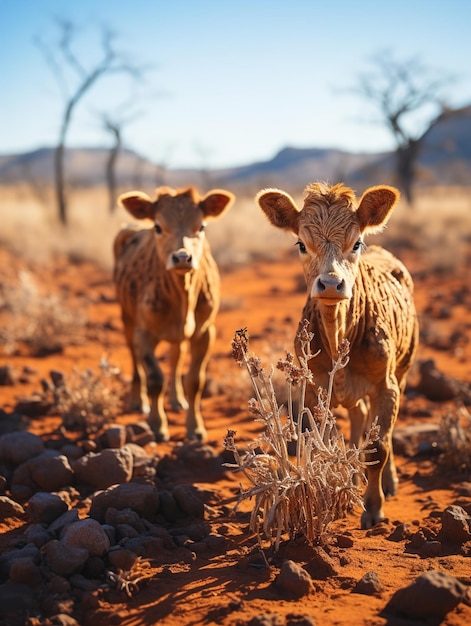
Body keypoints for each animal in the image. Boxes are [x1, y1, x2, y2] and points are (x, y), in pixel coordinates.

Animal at [113, 184, 234, 438]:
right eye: (158, 227)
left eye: (201, 226)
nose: (182, 257)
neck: (182, 295)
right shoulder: (144, 332)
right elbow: (154, 378)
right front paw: (157, 425)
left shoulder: (205, 332)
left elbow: (195, 381)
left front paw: (195, 428)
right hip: (127, 318)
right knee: (135, 359)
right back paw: (137, 400)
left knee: (176, 357)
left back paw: (177, 400)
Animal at [258, 180, 420, 528]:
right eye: (301, 244)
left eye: (356, 243)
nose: (331, 283)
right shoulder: (313, 391)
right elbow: (320, 443)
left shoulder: (387, 385)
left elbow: (379, 446)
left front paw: (374, 508)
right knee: (359, 416)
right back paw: (356, 473)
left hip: (403, 369)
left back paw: (388, 481)